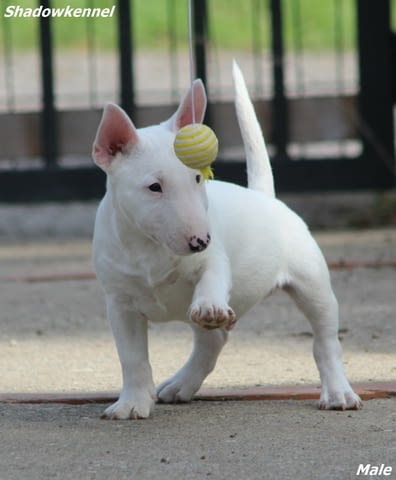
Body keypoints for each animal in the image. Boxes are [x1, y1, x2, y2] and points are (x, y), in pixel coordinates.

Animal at [90, 62, 362, 418]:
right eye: (154, 187)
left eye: (197, 178)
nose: (199, 240)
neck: (151, 247)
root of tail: (265, 197)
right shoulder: (120, 304)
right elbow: (132, 357)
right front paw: (132, 403)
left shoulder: (215, 258)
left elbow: (213, 275)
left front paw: (210, 305)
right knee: (211, 343)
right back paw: (179, 385)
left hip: (312, 283)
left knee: (325, 340)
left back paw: (338, 392)